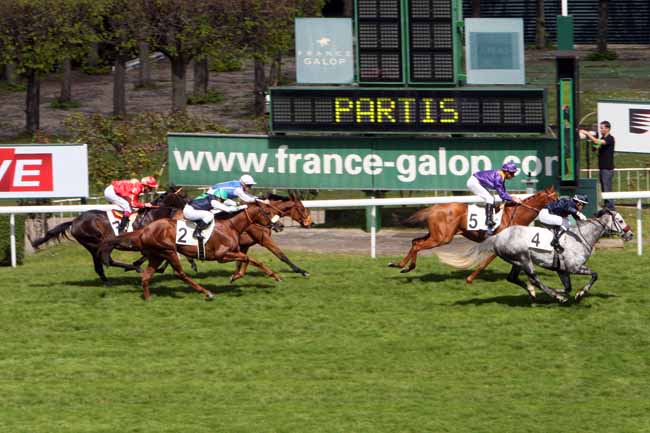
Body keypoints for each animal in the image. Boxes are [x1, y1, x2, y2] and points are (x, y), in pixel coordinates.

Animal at [99, 201, 284, 298]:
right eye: (267, 212)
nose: (279, 225)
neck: (230, 225)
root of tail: (145, 229)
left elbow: (250, 259)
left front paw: (274, 276)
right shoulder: (222, 255)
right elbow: (248, 259)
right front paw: (238, 276)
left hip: (157, 255)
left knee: (146, 276)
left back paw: (148, 298)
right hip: (168, 251)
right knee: (180, 273)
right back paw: (206, 292)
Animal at [388, 185, 556, 280]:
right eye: (556, 198)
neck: (515, 215)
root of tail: (433, 208)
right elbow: (484, 263)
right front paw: (470, 278)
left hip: (437, 234)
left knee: (415, 241)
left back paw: (402, 266)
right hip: (442, 238)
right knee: (417, 245)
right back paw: (403, 266)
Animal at [432, 208, 632, 302]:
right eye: (620, 220)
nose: (630, 234)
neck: (581, 237)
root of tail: (498, 236)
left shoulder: (562, 270)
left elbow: (567, 286)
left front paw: (562, 291)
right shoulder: (574, 267)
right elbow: (594, 275)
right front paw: (578, 294)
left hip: (516, 261)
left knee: (513, 278)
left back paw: (535, 293)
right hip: (524, 259)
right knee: (534, 279)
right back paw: (553, 296)